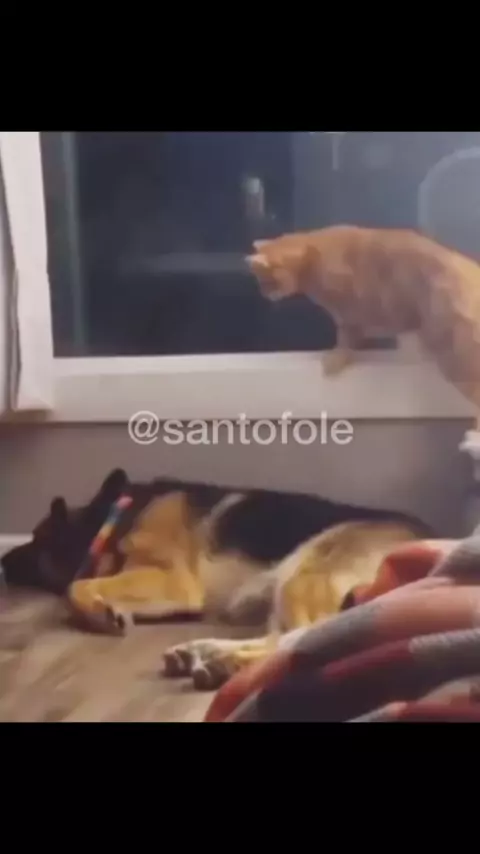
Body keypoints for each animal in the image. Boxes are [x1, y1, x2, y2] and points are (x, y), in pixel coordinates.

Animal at [1, 468, 433, 689]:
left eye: (38, 538)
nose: (4, 561)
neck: (112, 517)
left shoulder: (173, 581)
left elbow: (74, 587)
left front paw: (100, 611)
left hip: (304, 574)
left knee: (304, 638)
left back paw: (224, 663)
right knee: (287, 638)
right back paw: (204, 652)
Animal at [247, 225, 480, 428]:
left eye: (265, 281)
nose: (263, 294)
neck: (313, 254)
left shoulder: (349, 316)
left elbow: (344, 342)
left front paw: (335, 361)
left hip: (453, 355)